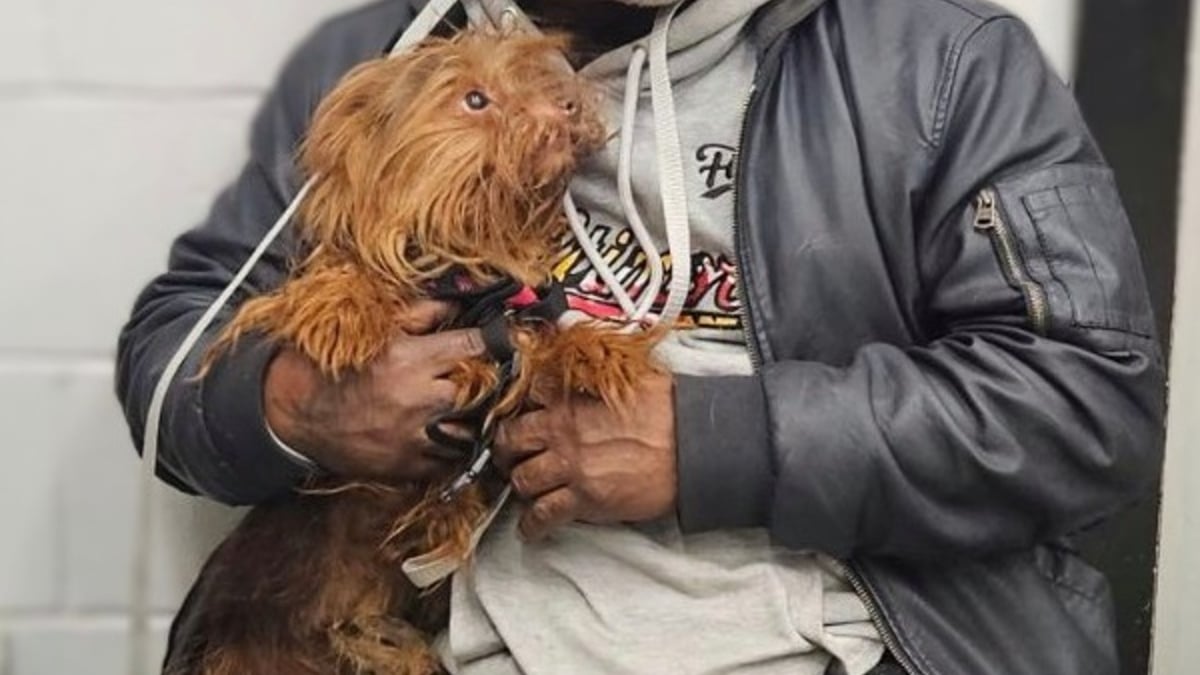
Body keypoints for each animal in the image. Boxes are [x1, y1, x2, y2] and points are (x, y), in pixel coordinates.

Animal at [171, 28, 657, 667]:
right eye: (475, 100)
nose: (571, 104)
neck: (467, 269)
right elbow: (315, 290)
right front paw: (343, 307)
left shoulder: (511, 327)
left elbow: (539, 340)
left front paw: (597, 350)